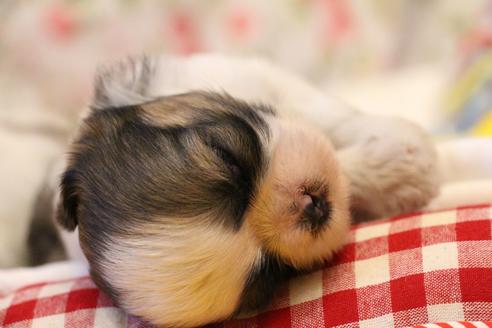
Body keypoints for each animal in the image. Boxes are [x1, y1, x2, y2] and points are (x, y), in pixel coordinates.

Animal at [35, 55, 438, 326]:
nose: (310, 204)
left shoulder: (252, 75)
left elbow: (327, 113)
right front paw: (396, 169)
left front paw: (399, 150)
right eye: (271, 270)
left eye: (226, 155)